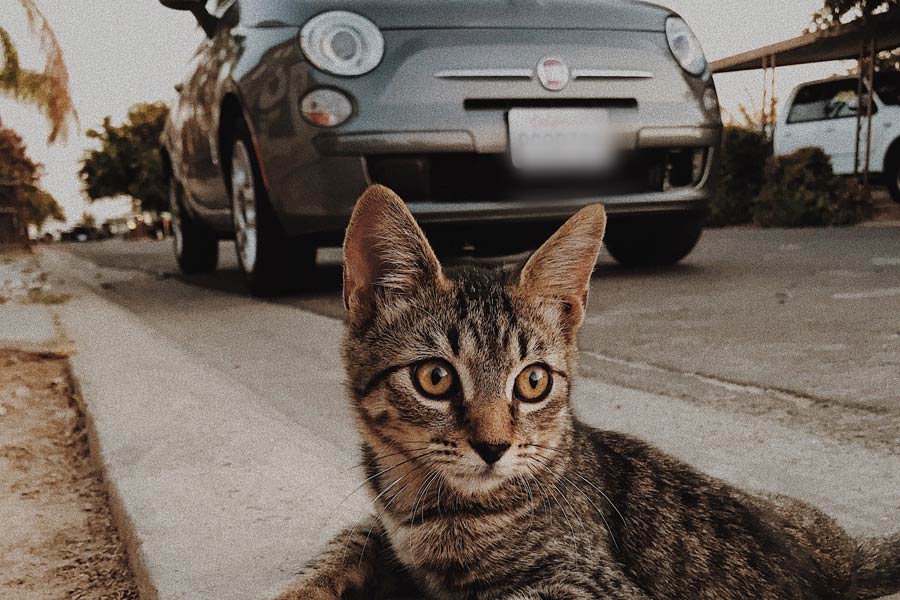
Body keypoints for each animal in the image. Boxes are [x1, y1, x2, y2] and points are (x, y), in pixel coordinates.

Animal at [274, 185, 900, 596]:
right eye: (436, 377)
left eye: (533, 381)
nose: (494, 447)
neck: (418, 503)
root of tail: (843, 564)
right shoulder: (383, 527)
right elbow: (345, 543)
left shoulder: (587, 585)